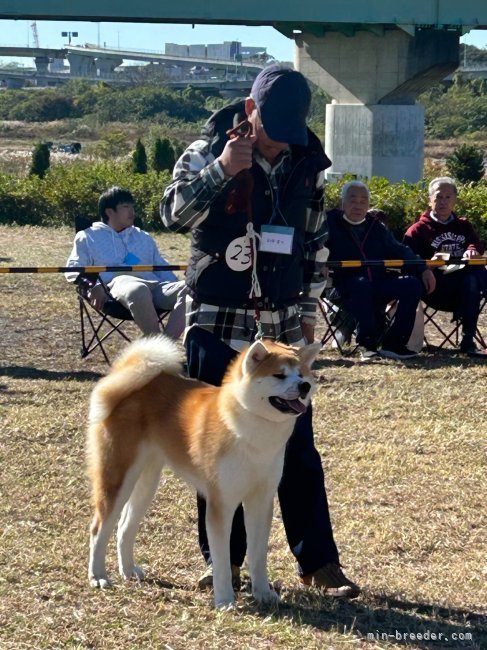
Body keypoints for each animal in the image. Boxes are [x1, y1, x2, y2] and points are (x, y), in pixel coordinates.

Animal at [87, 334, 322, 608]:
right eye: (279, 375)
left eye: (302, 374)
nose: (304, 386)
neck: (251, 433)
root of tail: (124, 381)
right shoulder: (221, 503)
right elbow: (222, 560)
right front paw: (225, 600)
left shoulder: (260, 500)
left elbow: (258, 556)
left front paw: (263, 593)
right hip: (117, 477)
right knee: (99, 529)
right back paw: (98, 576)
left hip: (146, 482)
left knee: (125, 526)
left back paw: (128, 570)